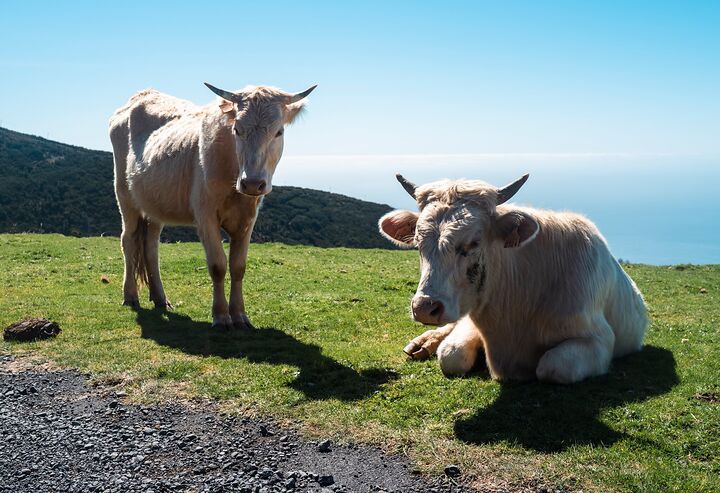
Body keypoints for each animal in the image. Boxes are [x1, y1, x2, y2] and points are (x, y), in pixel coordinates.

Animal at [109, 82, 316, 329]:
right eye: (237, 130)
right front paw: (221, 316)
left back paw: (160, 298)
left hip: (154, 205)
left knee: (151, 246)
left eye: (278, 132)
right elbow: (218, 265)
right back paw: (130, 295)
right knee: (128, 240)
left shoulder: (249, 219)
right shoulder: (205, 214)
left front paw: (240, 315)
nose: (252, 183)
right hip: (125, 196)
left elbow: (238, 266)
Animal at [378, 173, 648, 384]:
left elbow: (554, 366)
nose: (425, 308)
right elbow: (452, 355)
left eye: (474, 242)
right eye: (418, 243)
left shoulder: (600, 340)